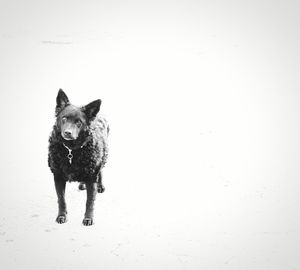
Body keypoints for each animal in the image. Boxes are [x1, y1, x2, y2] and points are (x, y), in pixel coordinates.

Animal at [47, 89, 108, 226]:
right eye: (64, 118)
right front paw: (62, 216)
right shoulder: (58, 176)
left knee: (101, 170)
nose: (67, 133)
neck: (71, 150)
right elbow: (61, 199)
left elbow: (89, 201)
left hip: (102, 156)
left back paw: (100, 185)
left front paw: (88, 218)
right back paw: (81, 183)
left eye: (78, 122)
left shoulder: (91, 177)